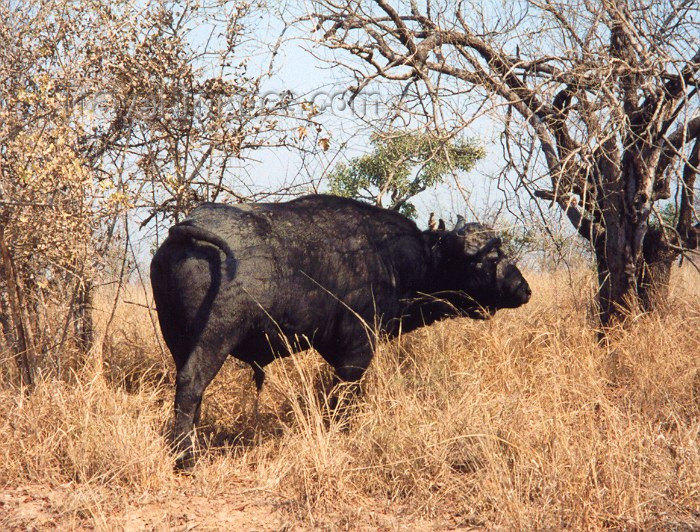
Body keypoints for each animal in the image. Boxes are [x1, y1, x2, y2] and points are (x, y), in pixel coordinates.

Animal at [149, 193, 532, 456]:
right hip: (215, 338)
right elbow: (342, 399)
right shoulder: (356, 351)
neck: (396, 257)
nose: (523, 289)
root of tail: (186, 229)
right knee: (191, 382)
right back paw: (185, 455)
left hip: (177, 340)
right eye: (490, 257)